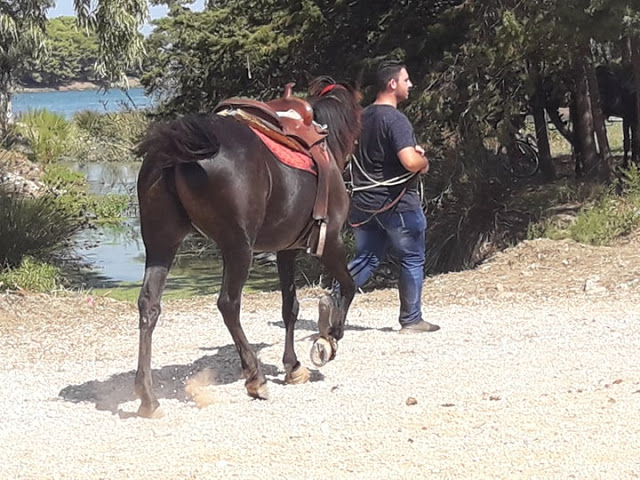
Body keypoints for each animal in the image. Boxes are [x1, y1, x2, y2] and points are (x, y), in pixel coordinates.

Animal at [133, 78, 362, 416]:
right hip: (238, 247)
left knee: (149, 305)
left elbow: (290, 307)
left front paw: (293, 366)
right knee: (229, 304)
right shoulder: (330, 241)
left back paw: (148, 397)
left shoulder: (285, 250)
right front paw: (328, 340)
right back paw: (255, 377)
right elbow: (348, 286)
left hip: (161, 243)